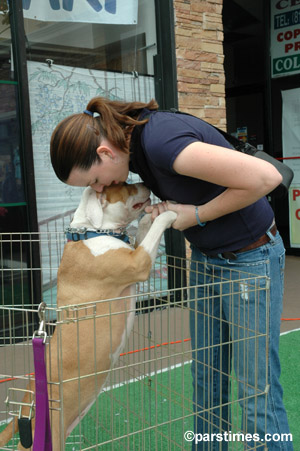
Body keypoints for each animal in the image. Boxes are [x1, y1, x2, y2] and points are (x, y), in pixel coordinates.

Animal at [0, 182, 177, 450]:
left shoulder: (135, 253)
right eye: (125, 185)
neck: (90, 232)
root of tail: (26, 401)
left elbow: (146, 228)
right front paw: (170, 213)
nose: (146, 183)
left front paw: (153, 213)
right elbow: (154, 231)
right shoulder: (138, 262)